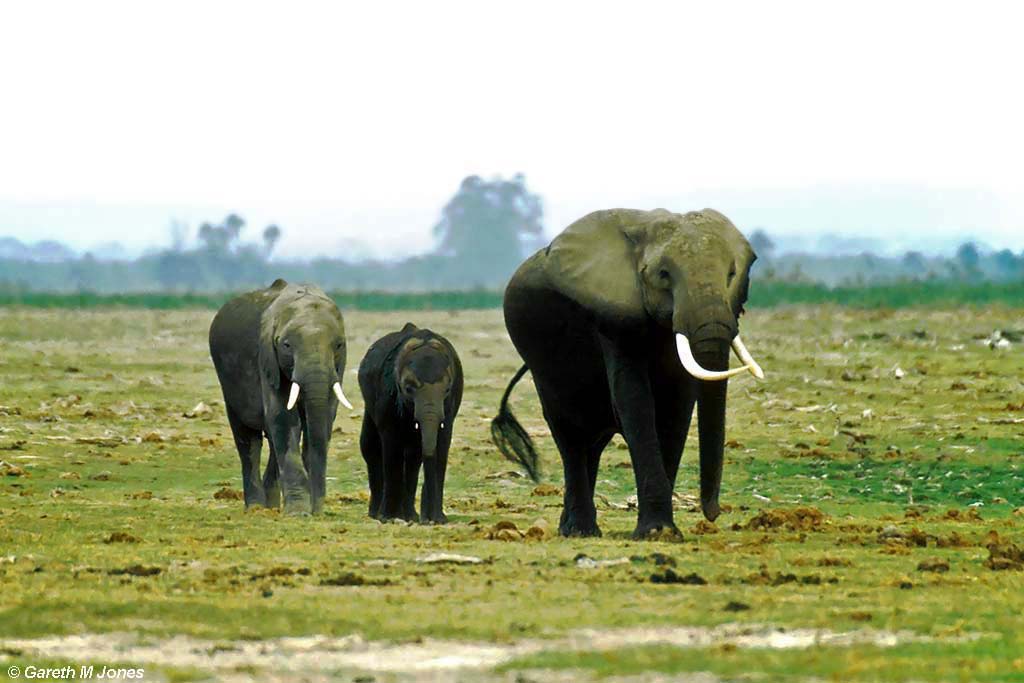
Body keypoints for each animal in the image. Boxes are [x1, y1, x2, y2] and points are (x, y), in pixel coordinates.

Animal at [205, 278, 354, 511]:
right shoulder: (267, 359)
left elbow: (324, 418)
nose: (317, 509)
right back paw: (256, 508)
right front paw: (299, 513)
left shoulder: (338, 367)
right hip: (228, 383)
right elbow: (282, 416)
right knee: (248, 441)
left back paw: (272, 507)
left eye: (339, 345)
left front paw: (309, 510)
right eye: (286, 345)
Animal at [356, 325, 460, 524]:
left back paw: (410, 516)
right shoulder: (386, 395)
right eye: (408, 389)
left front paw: (439, 520)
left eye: (447, 389)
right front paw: (388, 518)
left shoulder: (451, 404)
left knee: (413, 456)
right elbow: (391, 445)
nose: (429, 520)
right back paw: (378, 514)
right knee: (370, 447)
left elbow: (442, 443)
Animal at [491, 208, 765, 540]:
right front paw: (658, 532)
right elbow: (635, 401)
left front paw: (663, 532)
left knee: (593, 442)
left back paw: (573, 529)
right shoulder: (613, 317)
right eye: (664, 275)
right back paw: (580, 531)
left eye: (731, 275)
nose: (712, 514)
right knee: (570, 434)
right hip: (539, 357)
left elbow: (676, 409)